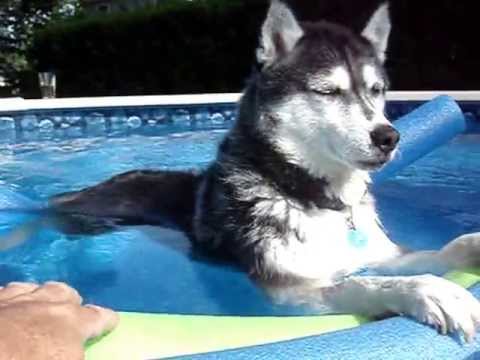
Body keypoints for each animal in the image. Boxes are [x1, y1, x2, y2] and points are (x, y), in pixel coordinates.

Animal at [49, 0, 480, 342]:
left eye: (376, 91)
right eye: (328, 91)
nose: (389, 136)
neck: (309, 196)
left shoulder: (382, 253)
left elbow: (440, 251)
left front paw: (470, 246)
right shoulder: (292, 294)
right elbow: (362, 282)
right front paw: (428, 291)